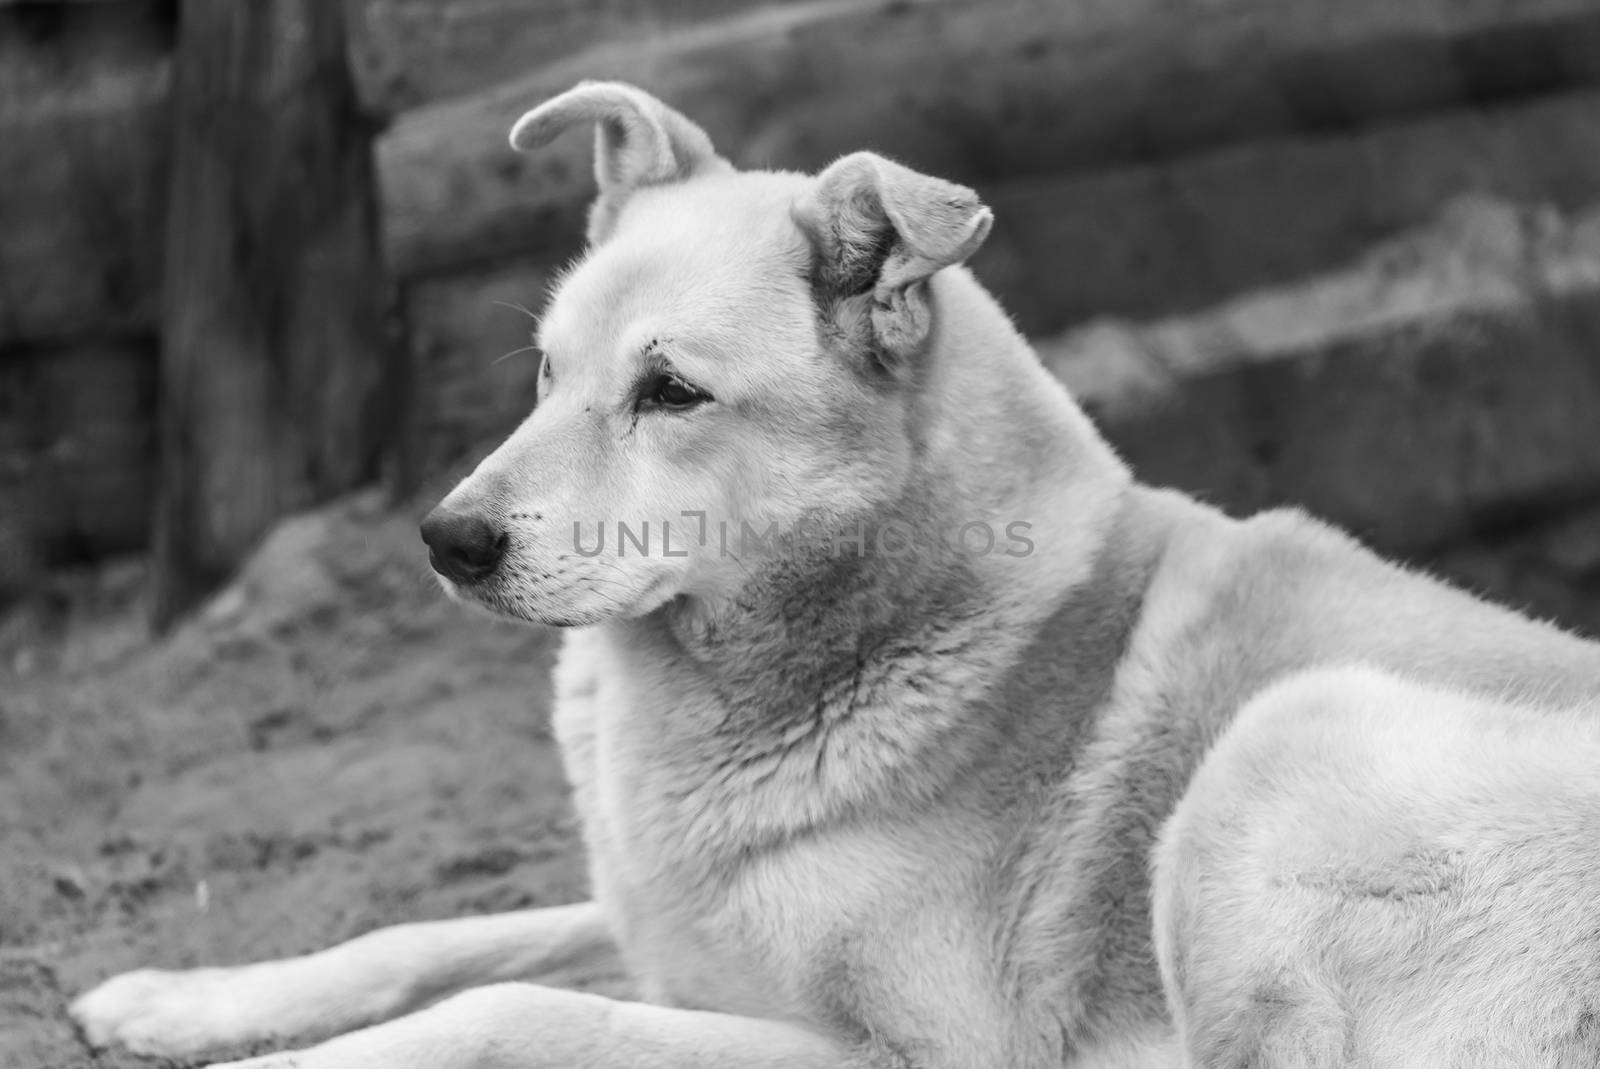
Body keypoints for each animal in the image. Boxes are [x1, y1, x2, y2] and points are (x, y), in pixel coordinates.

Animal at [75, 83, 1600, 1069]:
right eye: (545, 373)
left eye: (671, 392)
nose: (447, 541)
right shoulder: (650, 924)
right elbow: (440, 937)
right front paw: (173, 998)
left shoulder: (903, 1053)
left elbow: (507, 1011)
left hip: (1289, 742)